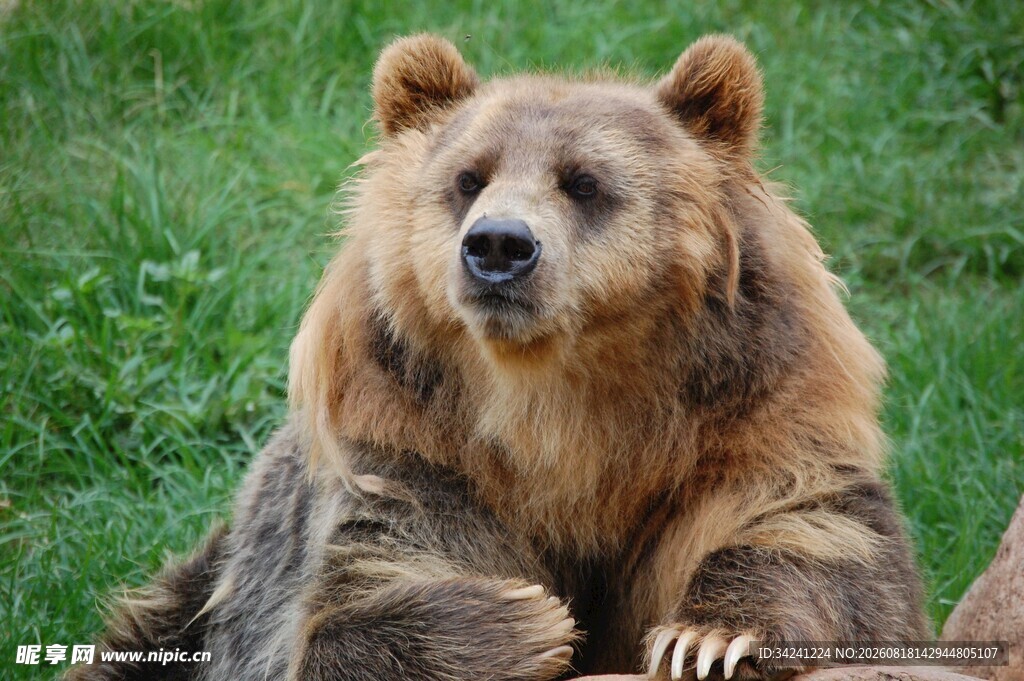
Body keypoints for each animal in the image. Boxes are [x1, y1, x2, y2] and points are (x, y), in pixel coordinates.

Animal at [66, 33, 930, 681]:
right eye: (466, 177)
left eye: (584, 182)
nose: (499, 246)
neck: (561, 410)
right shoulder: (414, 460)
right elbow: (350, 603)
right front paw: (521, 618)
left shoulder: (754, 426)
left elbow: (821, 537)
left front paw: (709, 637)